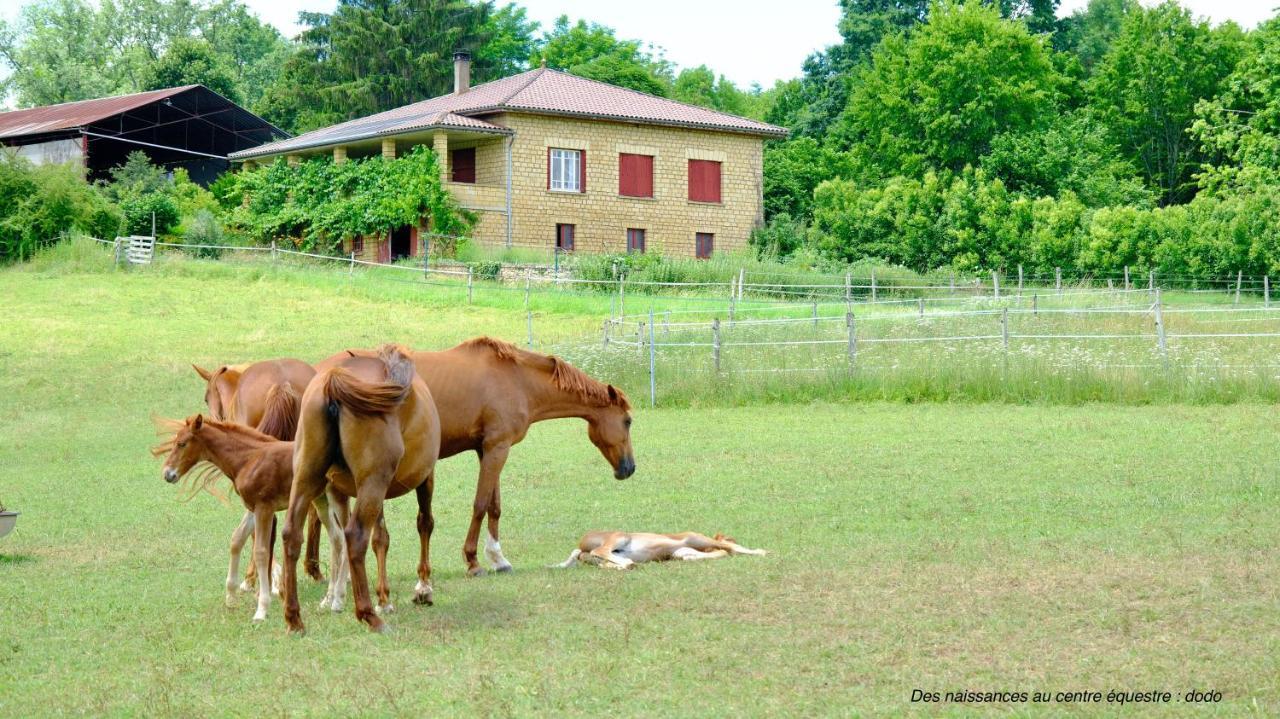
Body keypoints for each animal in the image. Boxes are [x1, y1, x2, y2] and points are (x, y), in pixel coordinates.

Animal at [280, 345, 440, 629]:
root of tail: (333, 383)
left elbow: (380, 538)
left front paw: (381, 598)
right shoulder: (424, 477)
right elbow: (424, 523)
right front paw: (422, 588)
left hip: (307, 477)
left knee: (292, 534)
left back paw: (294, 617)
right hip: (371, 484)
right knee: (354, 536)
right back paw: (367, 614)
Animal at [317, 335, 637, 583]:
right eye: (628, 421)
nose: (629, 468)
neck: (517, 380)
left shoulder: (488, 449)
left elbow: (495, 506)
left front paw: (499, 559)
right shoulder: (497, 447)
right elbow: (481, 504)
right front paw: (473, 561)